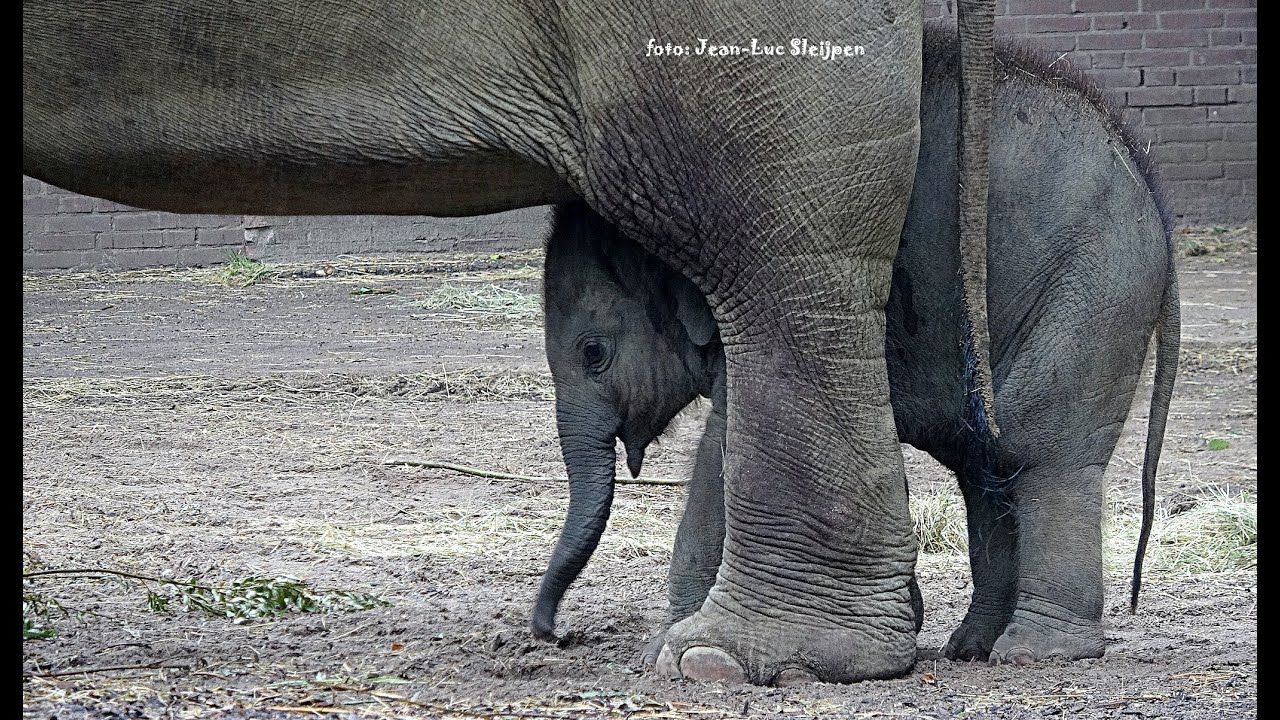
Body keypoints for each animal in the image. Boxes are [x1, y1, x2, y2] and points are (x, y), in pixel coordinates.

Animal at [538, 24, 1180, 667]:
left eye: (593, 354)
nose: (553, 633)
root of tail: (1149, 178)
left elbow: (730, 439)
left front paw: (670, 651)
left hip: (1094, 290)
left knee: (1036, 448)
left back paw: (1033, 652)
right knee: (985, 459)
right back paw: (970, 647)